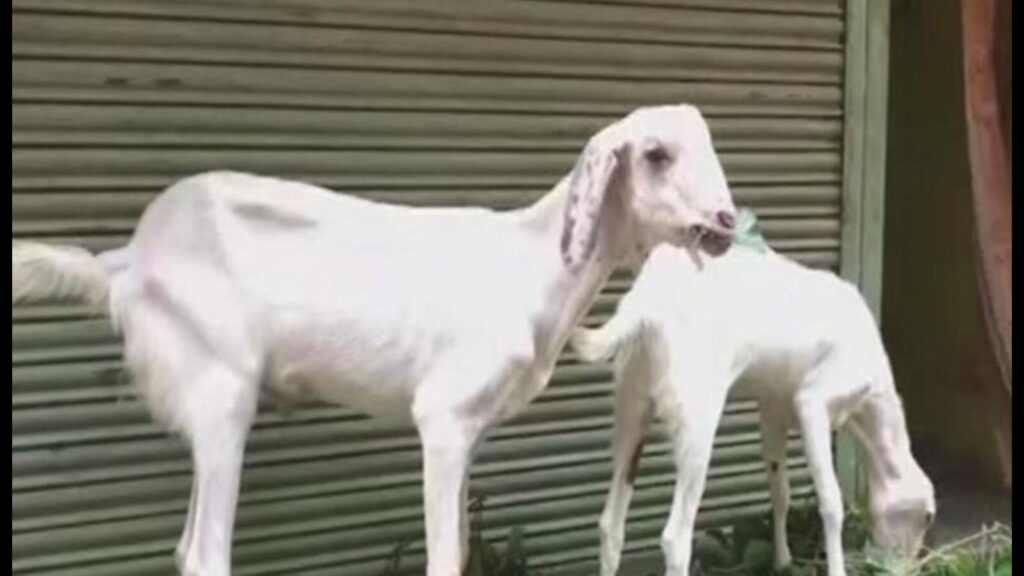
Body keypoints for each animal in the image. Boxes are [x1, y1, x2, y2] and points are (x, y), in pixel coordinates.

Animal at [11, 105, 738, 576]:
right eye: (656, 154)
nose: (727, 221)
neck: (529, 266)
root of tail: (127, 263)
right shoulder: (442, 418)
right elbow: (443, 559)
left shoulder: (471, 432)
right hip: (220, 393)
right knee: (204, 553)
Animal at [569, 224, 936, 576]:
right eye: (928, 518)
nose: (907, 568)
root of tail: (648, 293)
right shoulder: (813, 402)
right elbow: (831, 501)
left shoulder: (774, 411)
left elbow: (780, 491)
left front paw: (783, 561)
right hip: (696, 422)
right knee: (675, 538)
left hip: (631, 411)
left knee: (610, 526)